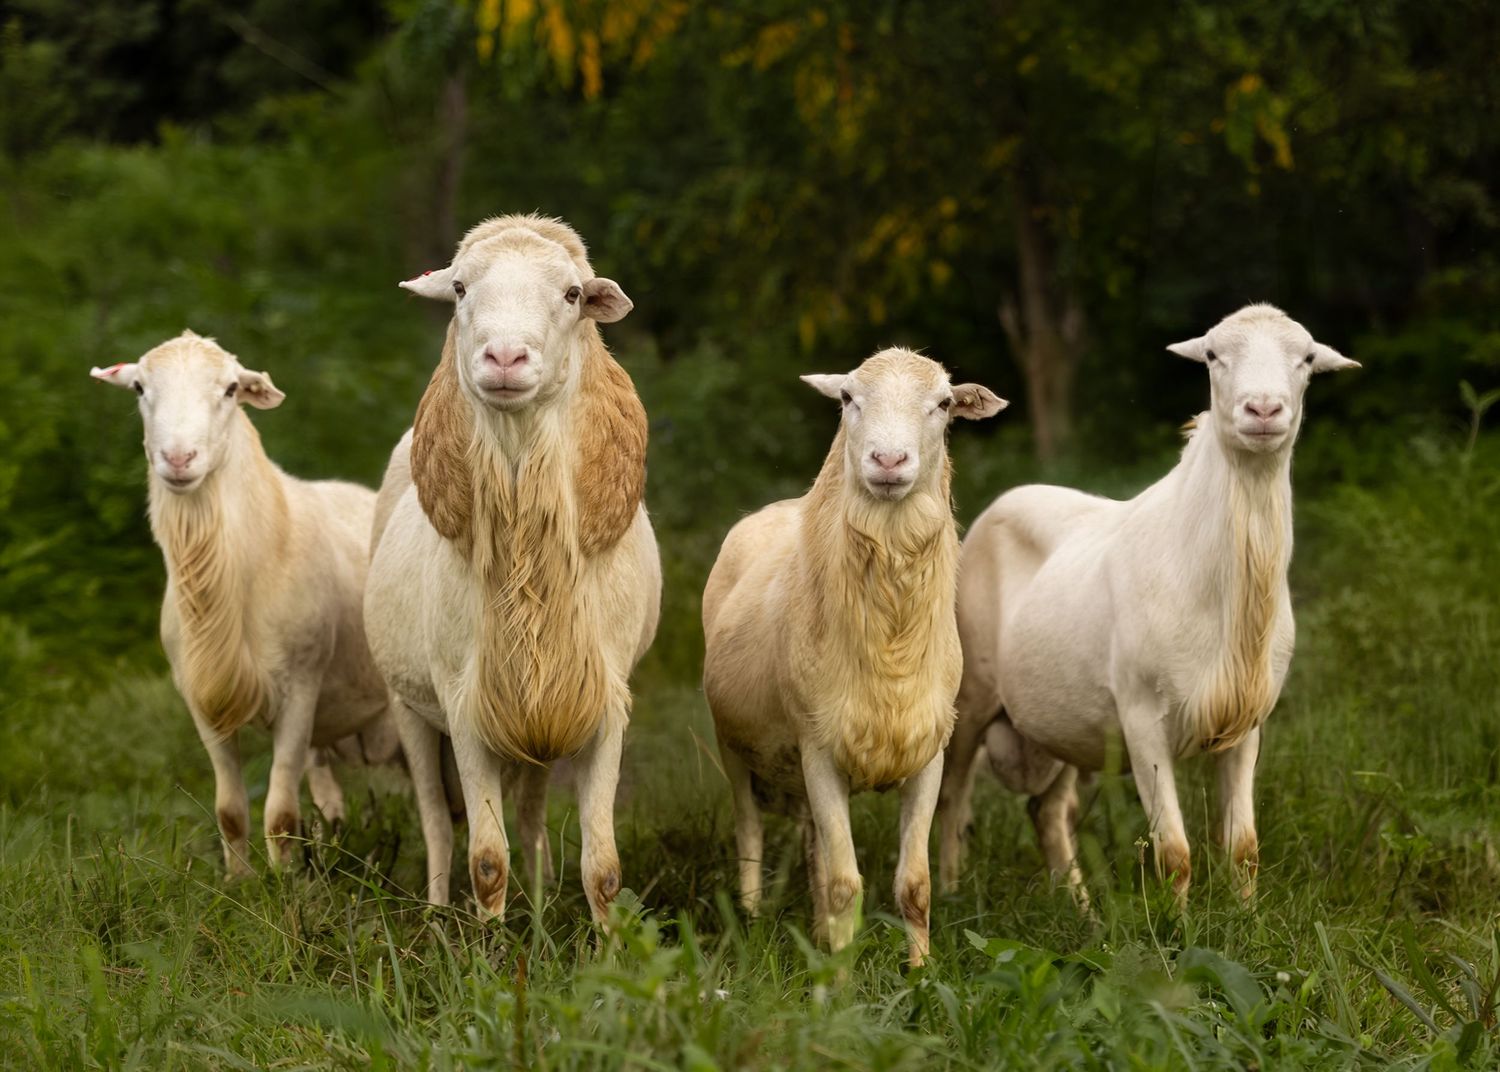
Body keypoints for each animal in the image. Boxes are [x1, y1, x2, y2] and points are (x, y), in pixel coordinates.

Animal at [90, 332, 398, 876]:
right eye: (139, 388)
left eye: (232, 389)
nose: (178, 458)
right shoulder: (202, 698)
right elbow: (230, 810)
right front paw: (239, 882)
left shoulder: (301, 687)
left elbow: (279, 812)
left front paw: (283, 884)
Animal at [364, 214, 660, 923]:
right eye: (460, 287)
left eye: (573, 295)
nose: (503, 359)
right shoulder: (465, 707)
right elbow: (486, 861)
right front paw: (489, 949)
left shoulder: (601, 703)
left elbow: (604, 869)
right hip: (411, 708)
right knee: (437, 824)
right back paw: (438, 916)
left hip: (536, 721)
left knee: (528, 818)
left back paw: (543, 901)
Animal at [702, 348, 1005, 965]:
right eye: (846, 398)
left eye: (944, 404)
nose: (888, 459)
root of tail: (775, 508)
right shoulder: (819, 750)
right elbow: (846, 885)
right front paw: (840, 981)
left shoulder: (928, 754)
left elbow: (914, 883)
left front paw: (920, 973)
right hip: (733, 743)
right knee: (749, 832)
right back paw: (750, 917)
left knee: (814, 851)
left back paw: (817, 933)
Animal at [936, 304, 1359, 903]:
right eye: (1212, 354)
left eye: (1306, 359)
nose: (1263, 409)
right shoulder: (1142, 720)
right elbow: (1175, 855)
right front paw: (1177, 927)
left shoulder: (1247, 721)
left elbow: (1244, 849)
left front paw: (1247, 918)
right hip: (971, 695)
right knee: (953, 802)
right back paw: (951, 894)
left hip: (1065, 719)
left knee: (1047, 811)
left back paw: (1080, 908)